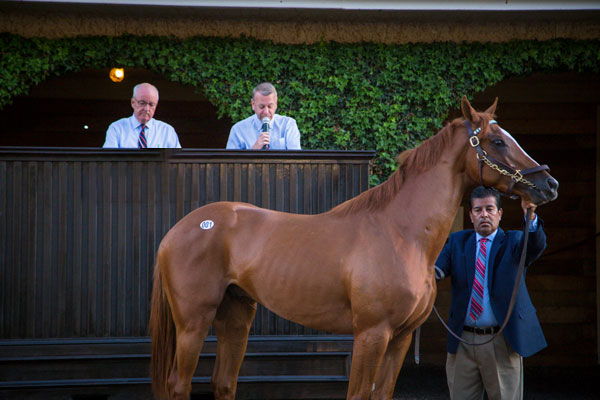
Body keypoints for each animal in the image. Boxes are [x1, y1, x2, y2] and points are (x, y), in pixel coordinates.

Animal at [149, 97, 556, 400]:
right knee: (178, 386)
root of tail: (178, 230)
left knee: (224, 383)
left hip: (236, 315)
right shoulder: (372, 335)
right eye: (497, 141)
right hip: (194, 322)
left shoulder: (400, 338)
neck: (400, 233)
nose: (548, 184)